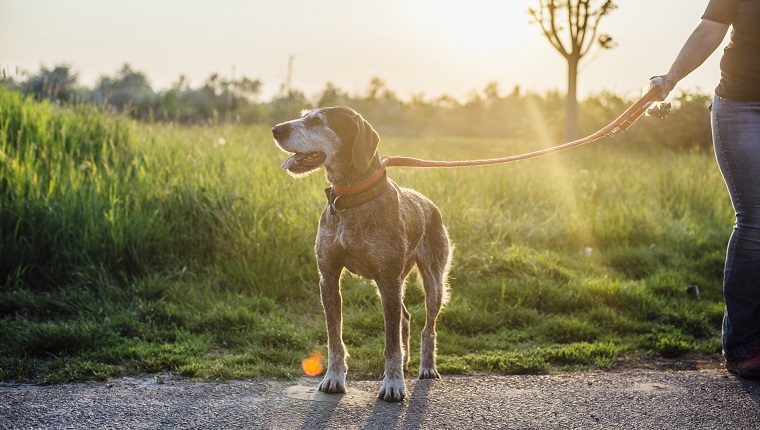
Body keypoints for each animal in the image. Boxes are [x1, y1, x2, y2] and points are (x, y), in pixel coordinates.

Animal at [274, 107, 452, 404]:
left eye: (317, 121)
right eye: (304, 114)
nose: (276, 129)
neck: (351, 198)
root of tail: (429, 204)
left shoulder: (388, 278)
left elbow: (391, 343)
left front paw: (393, 384)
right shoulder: (329, 278)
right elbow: (335, 338)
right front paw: (334, 378)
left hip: (432, 281)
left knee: (428, 327)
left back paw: (426, 367)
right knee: (405, 317)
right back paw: (407, 362)